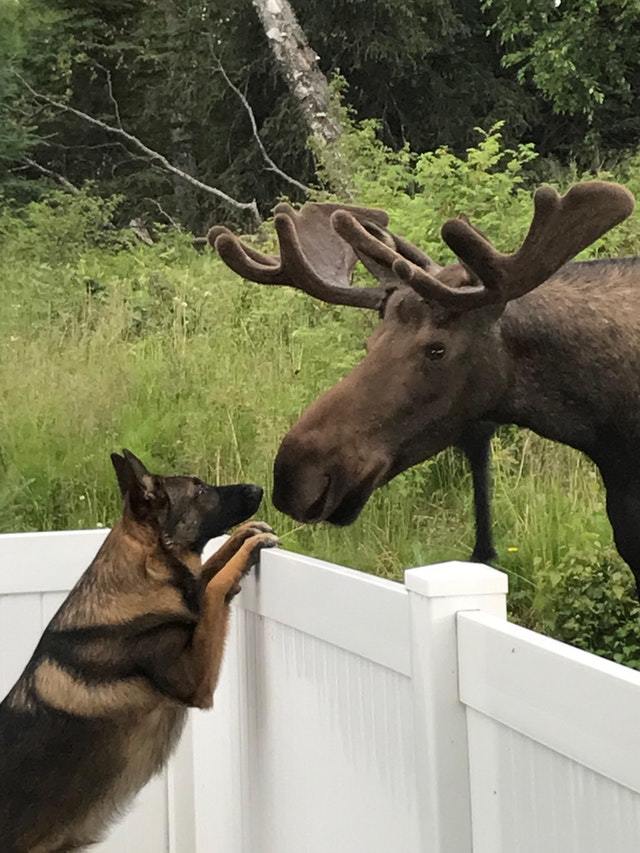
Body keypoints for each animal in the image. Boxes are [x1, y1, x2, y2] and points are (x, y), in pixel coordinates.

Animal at [0, 450, 276, 848]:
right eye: (200, 490)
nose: (258, 487)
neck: (139, 578)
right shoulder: (195, 680)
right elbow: (212, 590)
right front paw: (246, 552)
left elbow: (207, 572)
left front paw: (242, 535)